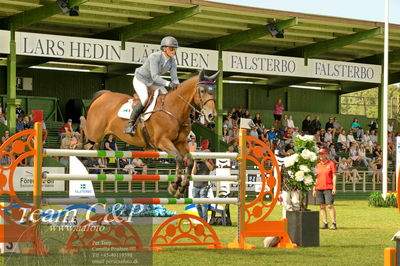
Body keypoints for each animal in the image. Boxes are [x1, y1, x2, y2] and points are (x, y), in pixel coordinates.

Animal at [84, 69, 219, 198]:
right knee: (86, 137)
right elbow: (179, 159)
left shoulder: (180, 143)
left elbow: (189, 161)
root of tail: (103, 95)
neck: (174, 110)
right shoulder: (162, 142)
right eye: (202, 91)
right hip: (94, 132)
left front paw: (181, 189)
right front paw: (174, 186)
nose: (211, 116)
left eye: (214, 91)